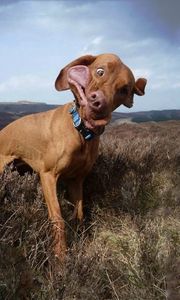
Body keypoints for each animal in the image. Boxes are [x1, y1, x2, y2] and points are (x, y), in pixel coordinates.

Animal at [0, 54, 146, 260]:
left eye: (124, 89)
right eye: (100, 71)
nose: (98, 103)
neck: (81, 131)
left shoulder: (76, 180)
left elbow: (78, 215)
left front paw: (80, 243)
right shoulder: (48, 176)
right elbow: (58, 219)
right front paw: (60, 258)